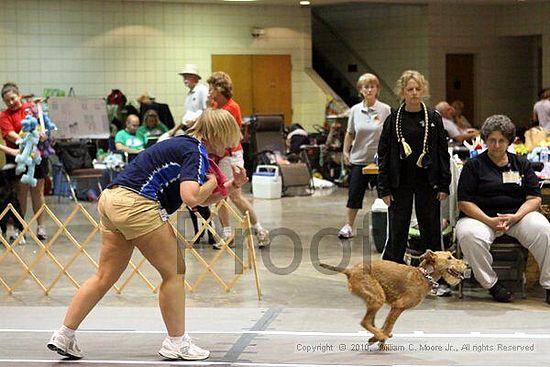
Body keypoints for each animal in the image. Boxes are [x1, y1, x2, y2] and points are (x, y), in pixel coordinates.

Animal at [322, 250, 468, 348]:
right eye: (449, 257)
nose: (466, 264)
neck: (424, 275)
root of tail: (350, 271)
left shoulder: (395, 308)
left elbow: (387, 325)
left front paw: (379, 340)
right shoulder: (398, 306)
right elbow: (388, 327)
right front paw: (379, 338)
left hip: (374, 300)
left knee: (371, 322)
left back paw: (378, 337)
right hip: (378, 298)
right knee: (365, 322)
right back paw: (379, 336)